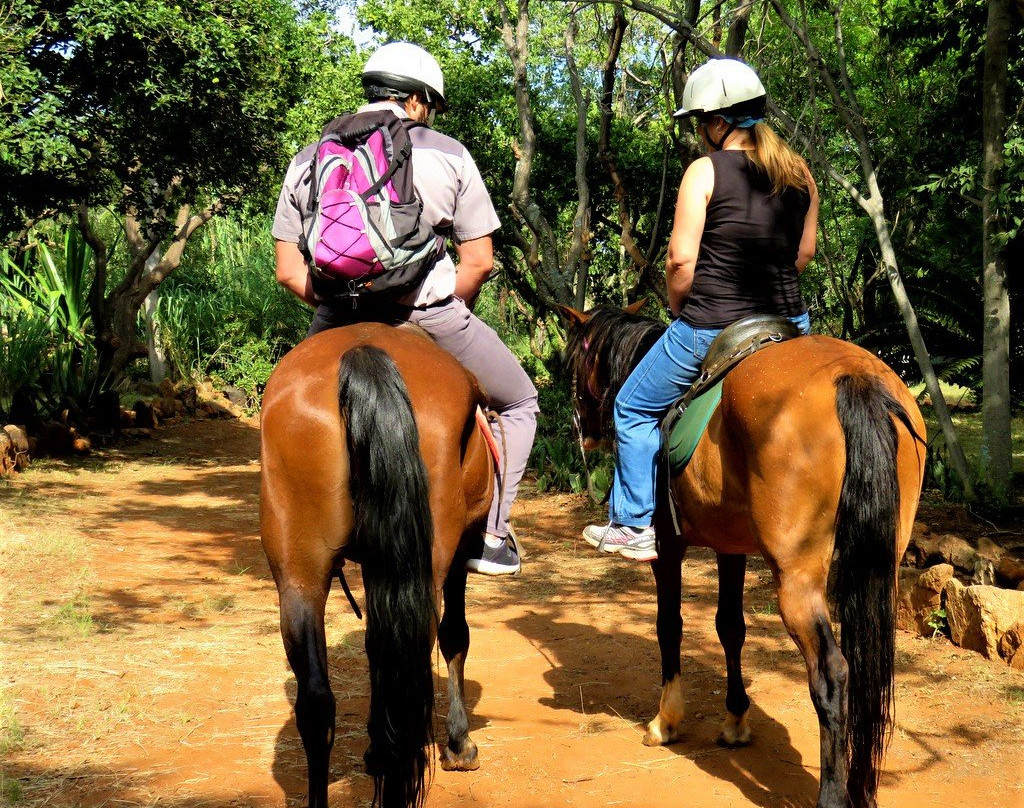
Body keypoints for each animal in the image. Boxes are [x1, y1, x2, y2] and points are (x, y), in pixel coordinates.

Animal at [260, 322, 494, 808]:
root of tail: (362, 351)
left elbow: (372, 645)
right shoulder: (462, 548)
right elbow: (455, 636)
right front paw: (459, 744)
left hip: (299, 575)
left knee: (317, 702)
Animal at [561, 304, 926, 808]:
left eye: (573, 364)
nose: (584, 432)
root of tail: (855, 378)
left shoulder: (667, 548)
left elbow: (669, 626)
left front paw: (666, 719)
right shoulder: (730, 546)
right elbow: (730, 628)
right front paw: (735, 720)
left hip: (796, 579)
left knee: (832, 675)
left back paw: (833, 795)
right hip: (880, 564)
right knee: (871, 668)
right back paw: (861, 787)